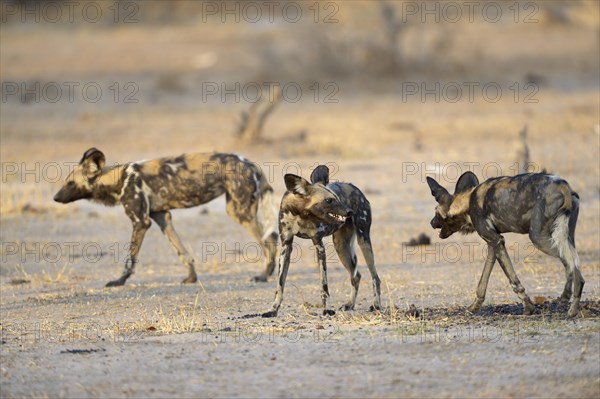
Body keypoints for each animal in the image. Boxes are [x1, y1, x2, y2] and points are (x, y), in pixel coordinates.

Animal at [52, 148, 278, 286]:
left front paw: (119, 281)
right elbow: (183, 253)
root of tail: (251, 163)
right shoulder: (162, 218)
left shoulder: (141, 222)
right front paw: (191, 277)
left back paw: (264, 275)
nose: (55, 197)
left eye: (70, 183)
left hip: (240, 213)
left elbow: (130, 259)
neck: (119, 179)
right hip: (236, 209)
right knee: (272, 237)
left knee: (269, 242)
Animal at [262, 164, 382, 318]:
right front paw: (273, 309)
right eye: (329, 200)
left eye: (337, 198)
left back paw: (376, 305)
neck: (302, 214)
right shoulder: (286, 247)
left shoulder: (319, 246)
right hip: (341, 247)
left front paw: (327, 309)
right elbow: (279, 285)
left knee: (375, 277)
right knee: (356, 276)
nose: (349, 212)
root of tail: (355, 188)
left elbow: (324, 285)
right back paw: (350, 304)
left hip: (363, 241)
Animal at [426, 172, 584, 318]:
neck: (468, 202)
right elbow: (483, 281)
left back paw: (571, 310)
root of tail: (562, 185)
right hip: (566, 237)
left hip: (539, 239)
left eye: (436, 213)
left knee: (572, 266)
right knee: (573, 267)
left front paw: (529, 308)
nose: (431, 222)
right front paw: (474, 307)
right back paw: (567, 302)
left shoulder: (497, 241)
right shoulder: (493, 244)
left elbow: (513, 280)